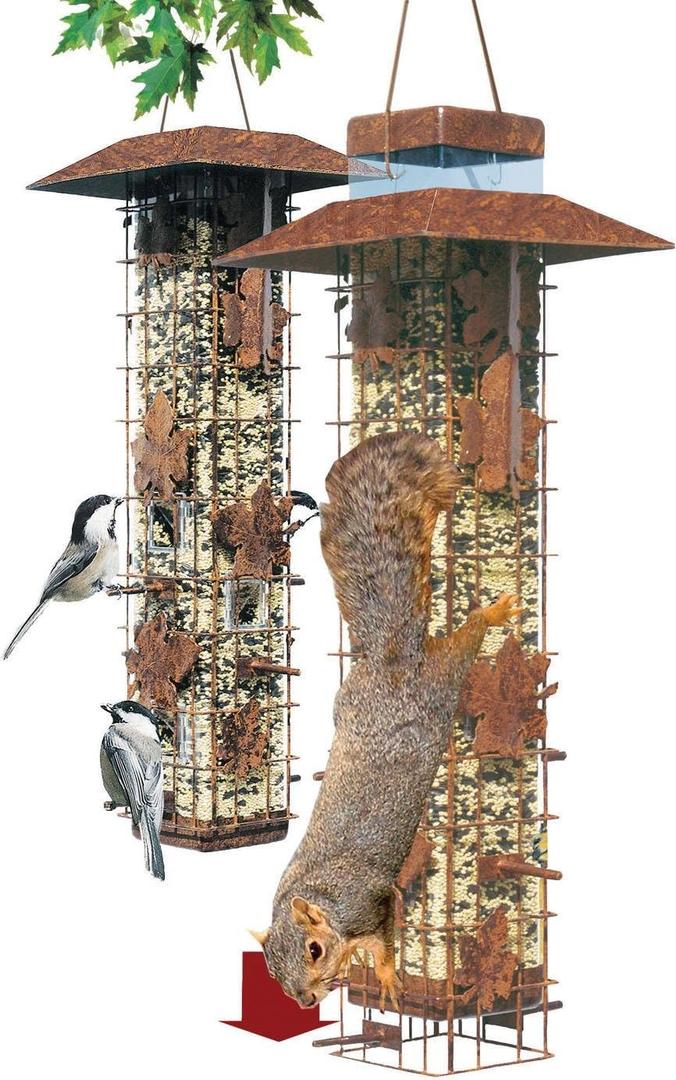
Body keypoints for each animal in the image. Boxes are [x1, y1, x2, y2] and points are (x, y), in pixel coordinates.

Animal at [250, 431, 520, 1012]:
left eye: (313, 950)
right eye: (273, 976)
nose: (305, 1002)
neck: (323, 899)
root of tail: (391, 661)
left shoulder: (371, 903)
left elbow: (386, 940)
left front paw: (391, 977)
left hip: (442, 686)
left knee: (465, 643)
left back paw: (490, 615)